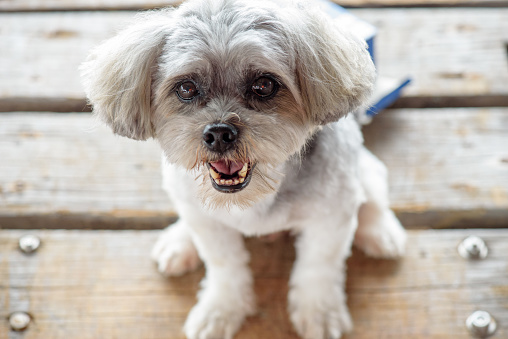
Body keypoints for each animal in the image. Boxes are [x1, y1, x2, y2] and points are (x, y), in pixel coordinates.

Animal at [82, 0, 408, 339]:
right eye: (186, 88)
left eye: (264, 85)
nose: (219, 133)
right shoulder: (210, 227)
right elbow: (225, 267)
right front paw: (220, 309)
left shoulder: (330, 219)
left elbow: (318, 266)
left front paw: (319, 311)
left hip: (363, 171)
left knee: (373, 194)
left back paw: (380, 231)